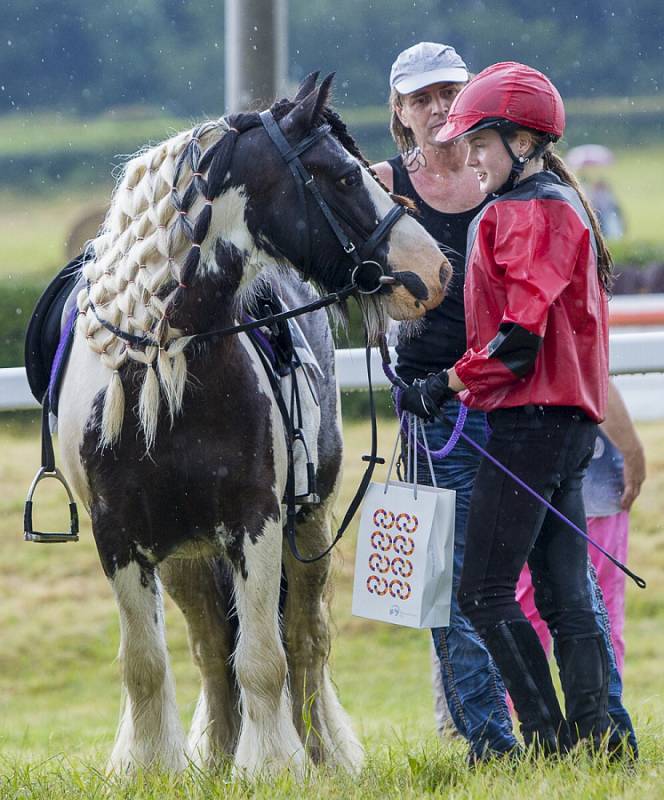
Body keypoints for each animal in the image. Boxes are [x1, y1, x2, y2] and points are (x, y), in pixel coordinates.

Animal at [55, 73, 452, 776]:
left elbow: (266, 659)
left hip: (309, 525)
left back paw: (320, 753)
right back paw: (215, 754)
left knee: (303, 643)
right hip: (185, 557)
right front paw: (150, 766)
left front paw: (272, 764)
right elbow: (145, 664)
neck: (163, 372)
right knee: (212, 646)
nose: (434, 271)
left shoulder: (258, 520)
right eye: (342, 176)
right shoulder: (118, 537)